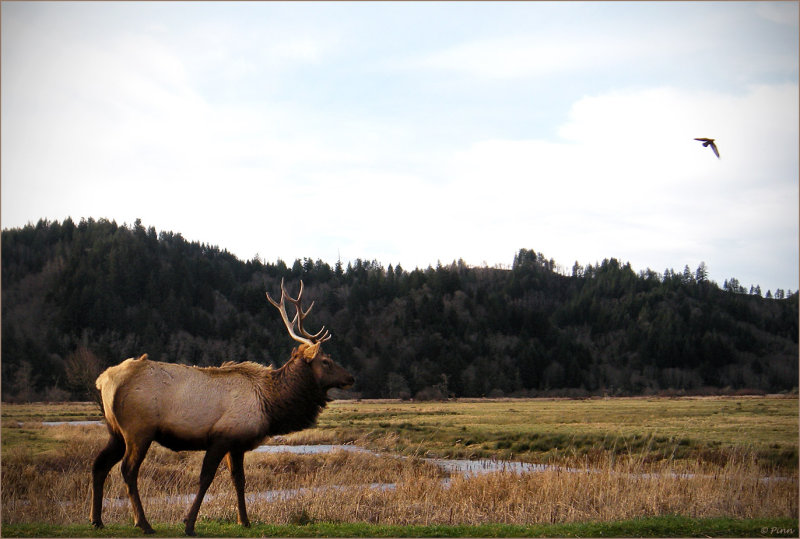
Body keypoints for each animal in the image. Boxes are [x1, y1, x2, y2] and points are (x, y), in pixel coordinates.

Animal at [90, 282, 354, 536]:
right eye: (326, 361)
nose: (350, 377)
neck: (270, 405)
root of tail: (102, 380)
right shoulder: (221, 437)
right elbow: (205, 478)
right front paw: (189, 524)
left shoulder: (237, 444)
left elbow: (239, 480)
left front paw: (244, 521)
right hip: (138, 430)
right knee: (128, 470)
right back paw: (143, 523)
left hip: (116, 431)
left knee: (99, 465)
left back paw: (97, 520)